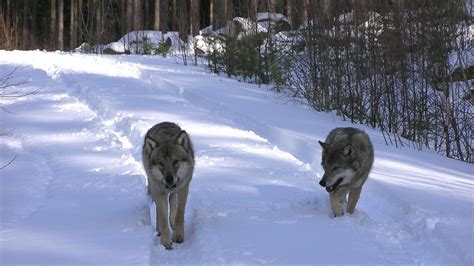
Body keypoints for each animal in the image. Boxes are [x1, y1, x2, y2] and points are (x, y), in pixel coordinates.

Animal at [142, 121, 193, 250]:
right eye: (161, 163)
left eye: (175, 161)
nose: (169, 179)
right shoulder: (159, 192)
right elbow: (163, 217)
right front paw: (165, 242)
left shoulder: (184, 188)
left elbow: (179, 213)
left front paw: (178, 236)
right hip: (153, 187)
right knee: (159, 209)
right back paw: (159, 230)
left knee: (172, 200)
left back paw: (172, 223)